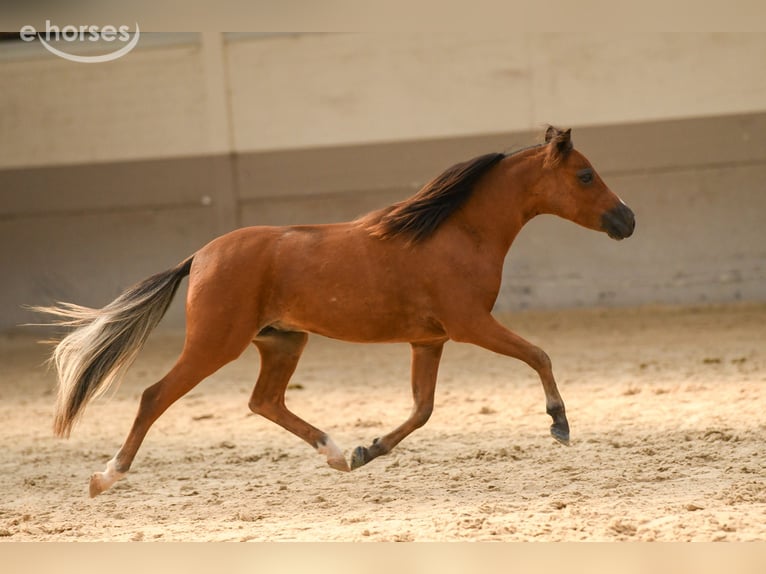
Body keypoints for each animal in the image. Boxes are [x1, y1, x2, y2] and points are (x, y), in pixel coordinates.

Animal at [35, 126, 635, 497]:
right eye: (585, 175)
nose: (627, 220)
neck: (456, 233)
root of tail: (200, 256)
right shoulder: (471, 326)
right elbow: (538, 355)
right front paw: (559, 423)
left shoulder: (430, 340)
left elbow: (423, 409)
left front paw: (371, 448)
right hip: (215, 344)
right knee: (154, 396)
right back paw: (106, 477)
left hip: (283, 340)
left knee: (264, 401)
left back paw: (338, 453)